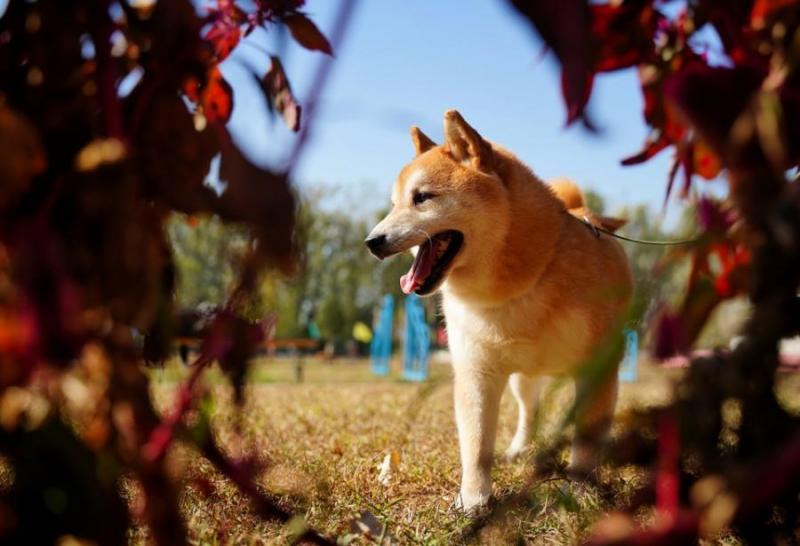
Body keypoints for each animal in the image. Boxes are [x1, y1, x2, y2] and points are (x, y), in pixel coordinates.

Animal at [366, 109, 636, 510]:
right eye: (395, 203)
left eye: (422, 197)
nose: (371, 242)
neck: (522, 284)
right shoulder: (477, 373)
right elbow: (477, 446)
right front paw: (473, 501)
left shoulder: (597, 368)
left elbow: (586, 443)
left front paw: (582, 491)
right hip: (523, 378)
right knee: (529, 411)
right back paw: (519, 449)